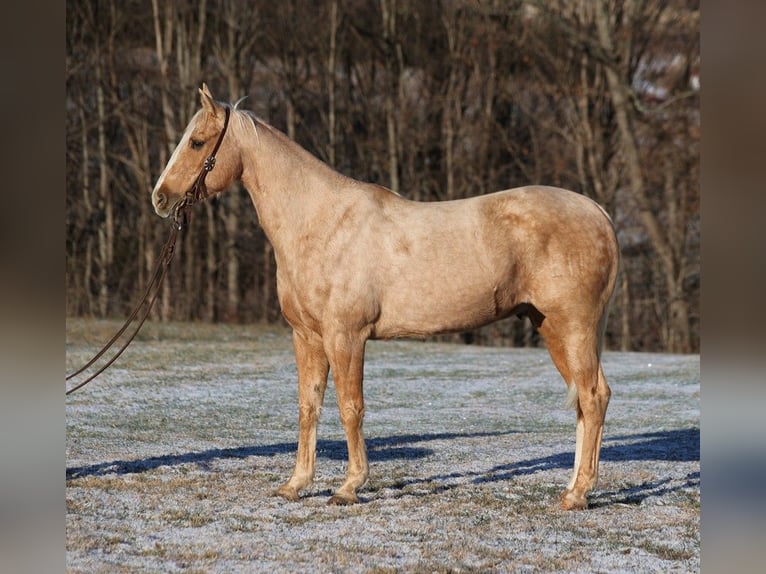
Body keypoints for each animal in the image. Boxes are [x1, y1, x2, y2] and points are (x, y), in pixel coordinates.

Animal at [153, 83, 620, 510]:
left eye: (197, 142)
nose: (160, 197)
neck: (322, 222)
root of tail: (598, 212)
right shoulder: (307, 337)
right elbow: (309, 406)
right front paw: (295, 484)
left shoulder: (346, 337)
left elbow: (350, 407)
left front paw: (349, 487)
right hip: (552, 328)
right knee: (584, 402)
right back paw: (572, 488)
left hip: (573, 327)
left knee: (594, 397)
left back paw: (578, 494)